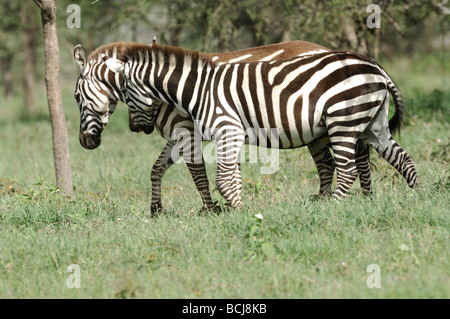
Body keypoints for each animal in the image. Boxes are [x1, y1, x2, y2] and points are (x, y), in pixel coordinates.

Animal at [74, 42, 418, 211]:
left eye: (76, 97)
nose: (137, 128)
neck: (194, 88)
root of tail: (375, 67)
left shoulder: (205, 132)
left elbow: (209, 177)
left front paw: (222, 211)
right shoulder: (215, 134)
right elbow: (162, 169)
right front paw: (158, 210)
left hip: (342, 122)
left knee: (346, 166)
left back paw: (335, 206)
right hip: (370, 123)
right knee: (397, 157)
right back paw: (416, 196)